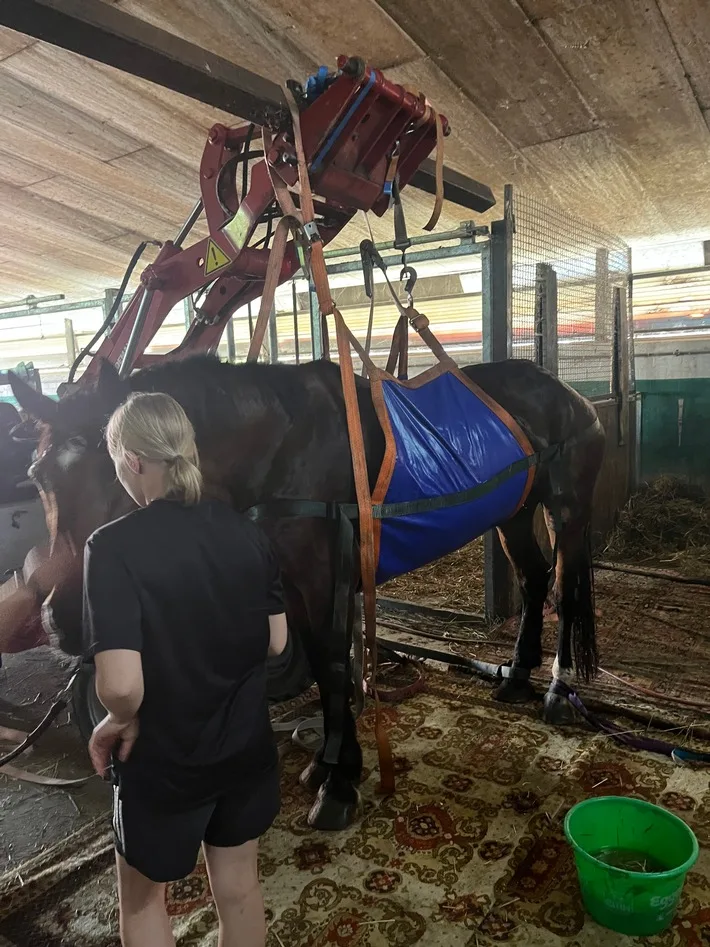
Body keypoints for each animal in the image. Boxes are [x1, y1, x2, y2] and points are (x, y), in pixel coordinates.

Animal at [6, 356, 608, 828]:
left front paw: (339, 784)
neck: (278, 449)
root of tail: (571, 395)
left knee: (565, 592)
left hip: (567, 510)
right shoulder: (291, 587)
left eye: (117, 474)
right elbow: (323, 670)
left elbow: (333, 666)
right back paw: (518, 675)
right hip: (514, 513)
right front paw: (328, 763)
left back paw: (557, 692)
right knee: (533, 581)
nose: (64, 619)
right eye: (36, 477)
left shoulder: (323, 581)